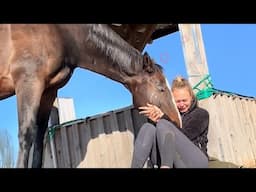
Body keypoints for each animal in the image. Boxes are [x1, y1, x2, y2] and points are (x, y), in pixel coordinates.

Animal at [0, 24, 181, 168]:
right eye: (161, 88)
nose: (177, 122)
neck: (60, 34)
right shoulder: (28, 82)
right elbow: (26, 135)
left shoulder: (48, 91)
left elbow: (38, 141)